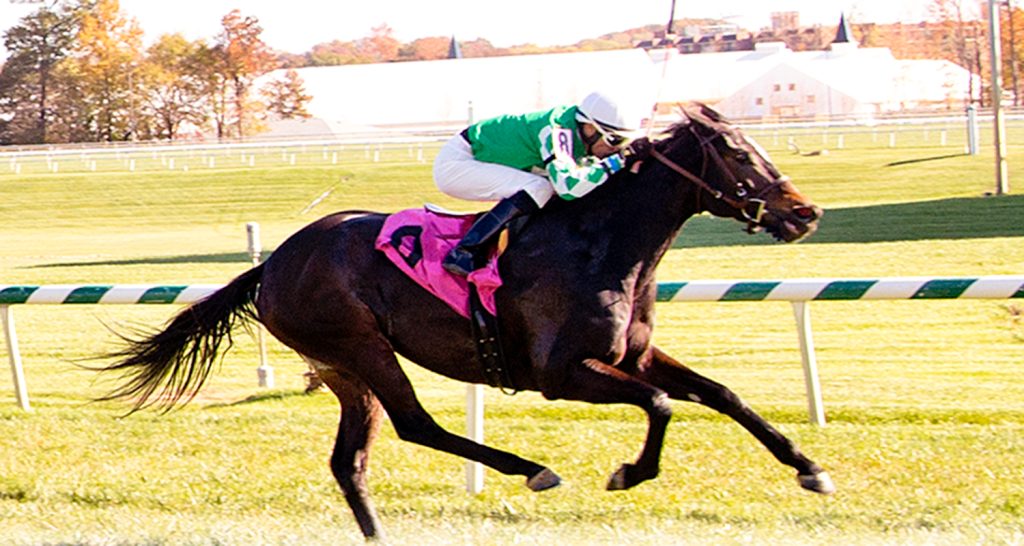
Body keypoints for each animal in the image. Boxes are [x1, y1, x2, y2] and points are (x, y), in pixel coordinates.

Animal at [97, 104, 831, 536]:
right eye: (739, 155)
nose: (805, 212)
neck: (600, 240)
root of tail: (274, 262)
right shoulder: (562, 373)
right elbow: (660, 404)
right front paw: (628, 472)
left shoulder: (633, 356)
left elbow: (723, 395)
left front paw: (809, 468)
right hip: (360, 347)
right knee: (415, 425)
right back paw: (530, 467)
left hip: (340, 368)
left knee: (350, 461)